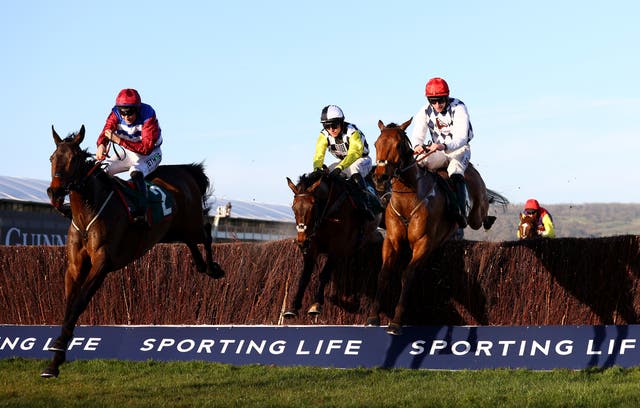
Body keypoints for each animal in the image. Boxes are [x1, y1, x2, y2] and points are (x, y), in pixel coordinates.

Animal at [41, 124, 224, 376]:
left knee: (205, 232)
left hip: (191, 223)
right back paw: (201, 266)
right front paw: (54, 361)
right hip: (171, 232)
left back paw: (213, 268)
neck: (87, 212)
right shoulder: (75, 267)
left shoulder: (103, 263)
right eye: (52, 158)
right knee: (190, 242)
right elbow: (69, 306)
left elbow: (79, 302)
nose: (55, 193)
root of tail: (185, 170)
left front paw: (58, 347)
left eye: (75, 158)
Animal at [284, 171, 382, 320]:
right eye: (293, 207)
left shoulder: (337, 248)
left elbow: (324, 274)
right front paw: (293, 306)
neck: (329, 212)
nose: (302, 241)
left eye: (313, 206)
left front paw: (316, 304)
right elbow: (304, 277)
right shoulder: (312, 248)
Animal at [368, 119, 508, 336]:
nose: (380, 178)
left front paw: (396, 322)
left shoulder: (424, 243)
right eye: (376, 144)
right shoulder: (391, 240)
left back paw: (489, 218)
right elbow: (384, 273)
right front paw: (373, 317)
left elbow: (407, 275)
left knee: (480, 215)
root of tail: (471, 169)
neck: (408, 199)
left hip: (475, 212)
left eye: (398, 145)